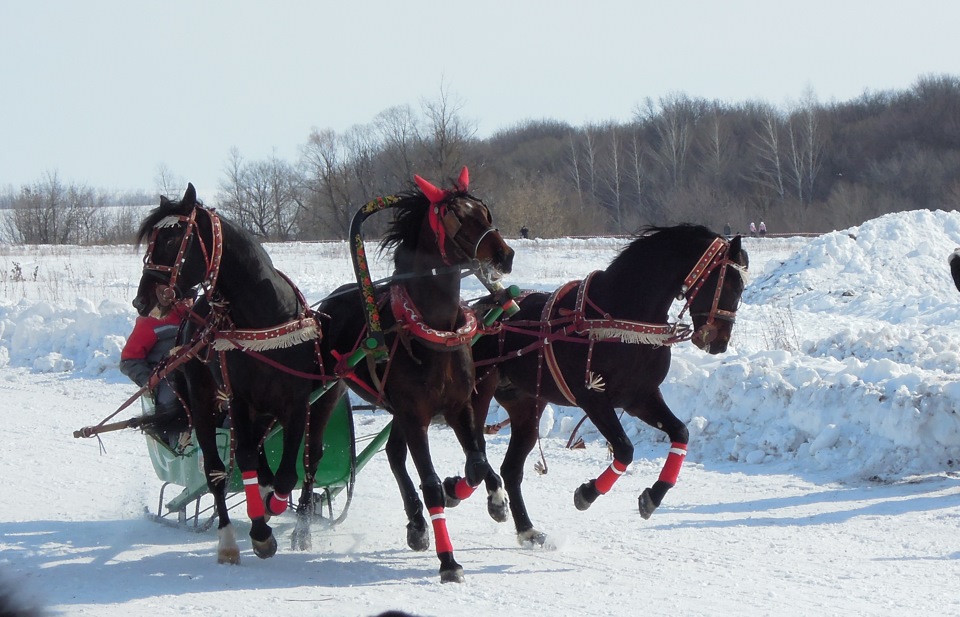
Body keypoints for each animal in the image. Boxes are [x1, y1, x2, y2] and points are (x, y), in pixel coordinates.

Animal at [131, 184, 334, 564]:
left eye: (172, 238)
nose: (142, 300)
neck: (263, 317)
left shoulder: (297, 402)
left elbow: (286, 473)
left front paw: (271, 507)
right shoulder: (238, 400)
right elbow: (243, 461)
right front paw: (260, 534)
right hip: (204, 401)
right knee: (216, 471)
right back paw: (228, 541)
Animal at [314, 168, 516, 584]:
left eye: (485, 211)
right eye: (457, 217)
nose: (505, 255)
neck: (435, 330)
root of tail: (327, 304)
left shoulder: (457, 406)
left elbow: (477, 464)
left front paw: (488, 498)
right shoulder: (417, 415)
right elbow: (431, 485)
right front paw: (449, 560)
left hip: (398, 412)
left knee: (393, 454)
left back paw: (417, 524)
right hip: (331, 391)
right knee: (313, 453)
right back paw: (299, 518)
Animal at [468, 225, 748, 544]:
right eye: (729, 283)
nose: (720, 342)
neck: (622, 318)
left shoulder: (641, 397)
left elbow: (681, 432)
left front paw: (653, 496)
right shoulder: (594, 399)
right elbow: (625, 449)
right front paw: (588, 493)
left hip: (526, 403)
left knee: (511, 468)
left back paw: (526, 528)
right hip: (480, 390)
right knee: (476, 449)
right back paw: (485, 496)